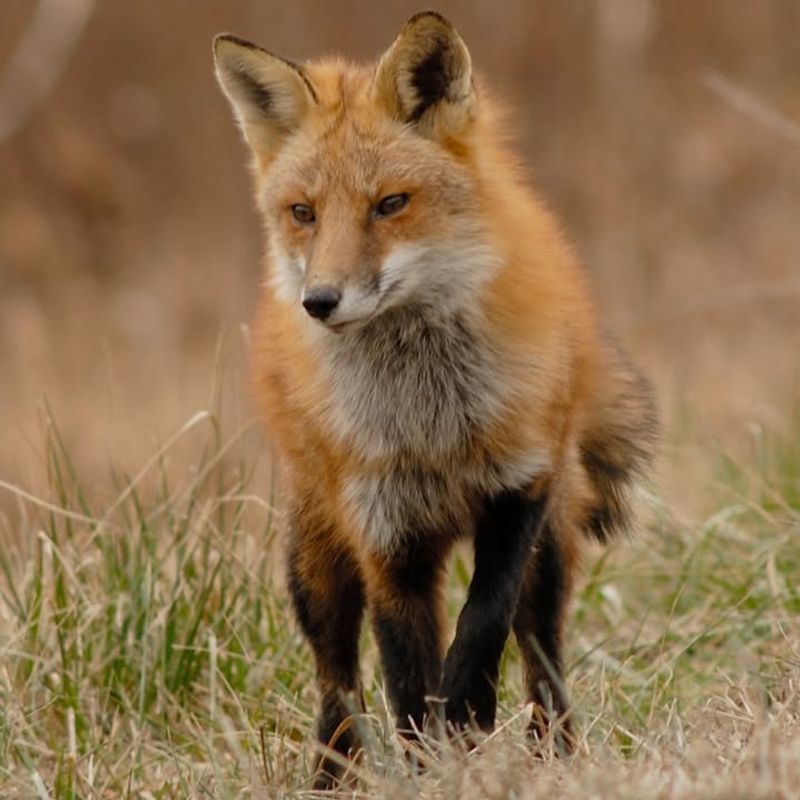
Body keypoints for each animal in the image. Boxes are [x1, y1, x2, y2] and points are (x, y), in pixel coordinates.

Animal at [213, 10, 657, 788]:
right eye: (303, 213)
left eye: (390, 204)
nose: (319, 301)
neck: (433, 423)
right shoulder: (385, 534)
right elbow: (402, 675)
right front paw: (430, 768)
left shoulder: (520, 490)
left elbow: (481, 625)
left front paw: (468, 715)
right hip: (315, 559)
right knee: (336, 676)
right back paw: (331, 777)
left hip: (551, 549)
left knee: (542, 653)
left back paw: (555, 755)